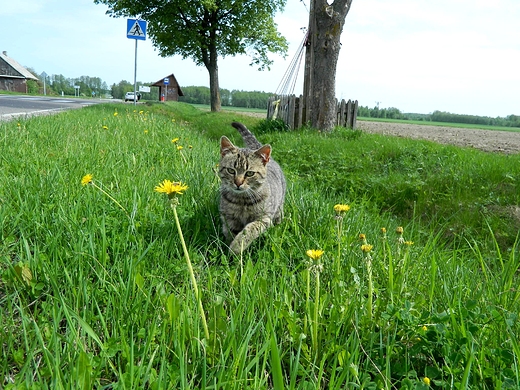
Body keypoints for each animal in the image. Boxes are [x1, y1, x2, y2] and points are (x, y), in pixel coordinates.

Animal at [218, 122, 286, 256]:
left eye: (249, 173)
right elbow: (230, 232)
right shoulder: (229, 218)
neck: (242, 201)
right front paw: (230, 250)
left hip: (279, 208)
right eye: (231, 170)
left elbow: (248, 230)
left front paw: (236, 246)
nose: (238, 183)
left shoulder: (264, 218)